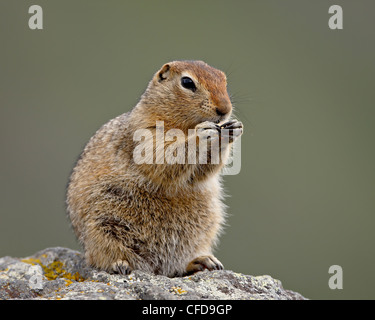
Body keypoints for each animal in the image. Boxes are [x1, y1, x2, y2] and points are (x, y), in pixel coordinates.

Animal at [67, 60, 244, 278]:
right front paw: (202, 133)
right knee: (103, 256)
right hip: (102, 227)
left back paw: (202, 261)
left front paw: (232, 128)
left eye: (224, 80)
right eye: (187, 82)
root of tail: (157, 268)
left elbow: (201, 171)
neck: (183, 124)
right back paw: (121, 264)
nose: (225, 109)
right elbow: (163, 156)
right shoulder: (146, 132)